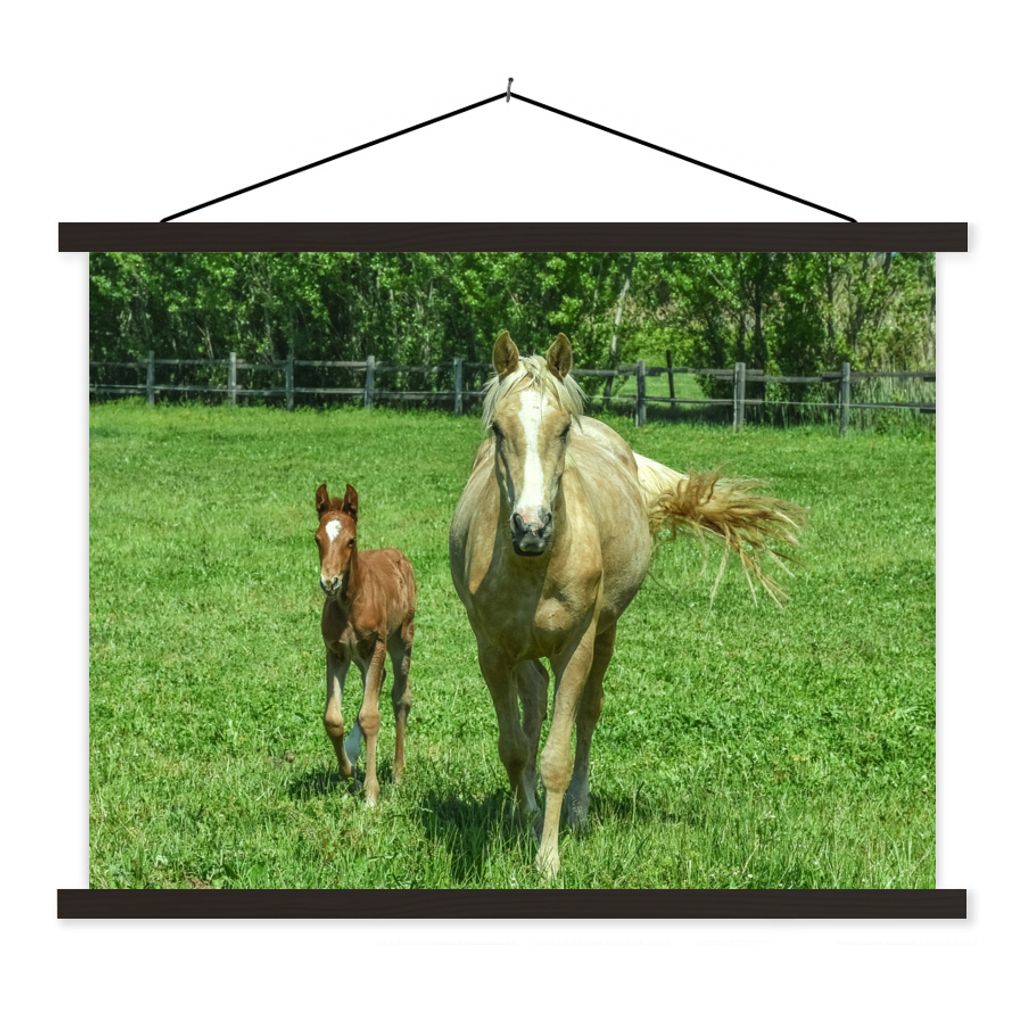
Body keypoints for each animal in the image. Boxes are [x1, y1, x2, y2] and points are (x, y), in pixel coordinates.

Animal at [315, 483, 416, 806]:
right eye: (317, 539)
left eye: (351, 540)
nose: (330, 582)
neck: (350, 603)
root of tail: (397, 553)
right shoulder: (335, 651)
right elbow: (333, 718)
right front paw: (349, 771)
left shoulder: (376, 646)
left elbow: (370, 715)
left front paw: (372, 793)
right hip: (359, 656)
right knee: (376, 683)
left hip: (400, 640)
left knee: (400, 697)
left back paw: (397, 773)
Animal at [449, 331, 803, 877]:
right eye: (497, 428)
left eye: (562, 429)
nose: (531, 527)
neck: (535, 566)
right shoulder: (491, 650)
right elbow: (514, 747)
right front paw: (522, 824)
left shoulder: (576, 645)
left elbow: (556, 755)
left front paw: (548, 857)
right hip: (523, 649)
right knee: (534, 704)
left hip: (606, 631)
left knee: (587, 714)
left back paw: (576, 813)